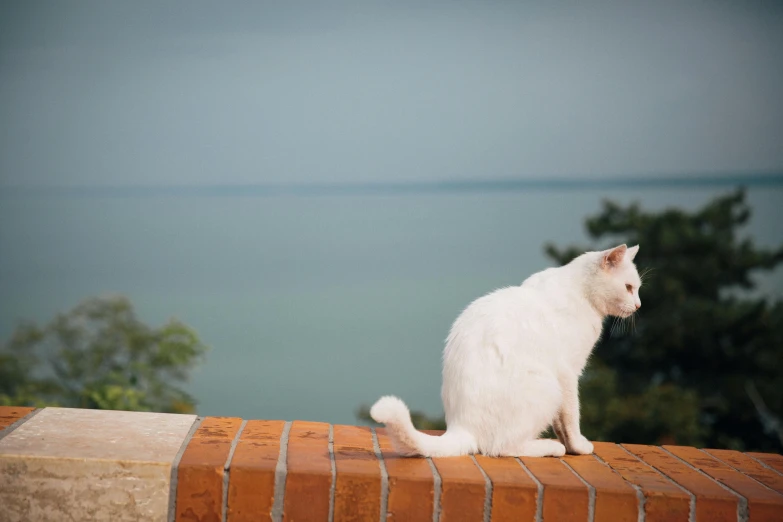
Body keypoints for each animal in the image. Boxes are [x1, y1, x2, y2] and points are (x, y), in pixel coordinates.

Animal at [370, 244, 640, 456]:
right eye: (628, 287)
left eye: (637, 288)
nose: (638, 304)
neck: (581, 292)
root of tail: (461, 425)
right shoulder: (568, 374)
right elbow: (571, 414)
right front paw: (577, 445)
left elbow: (561, 421)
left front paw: (570, 443)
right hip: (547, 386)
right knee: (502, 448)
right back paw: (549, 447)